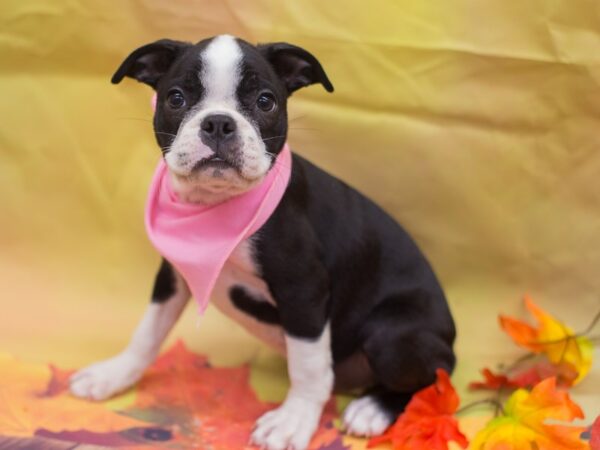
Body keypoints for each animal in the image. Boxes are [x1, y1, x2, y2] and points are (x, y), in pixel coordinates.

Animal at [69, 34, 454, 450]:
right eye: (175, 98)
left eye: (265, 101)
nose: (218, 122)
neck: (216, 206)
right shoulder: (173, 275)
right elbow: (148, 330)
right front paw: (113, 375)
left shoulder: (304, 289)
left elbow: (308, 364)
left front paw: (293, 419)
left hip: (391, 336)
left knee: (437, 378)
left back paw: (372, 410)